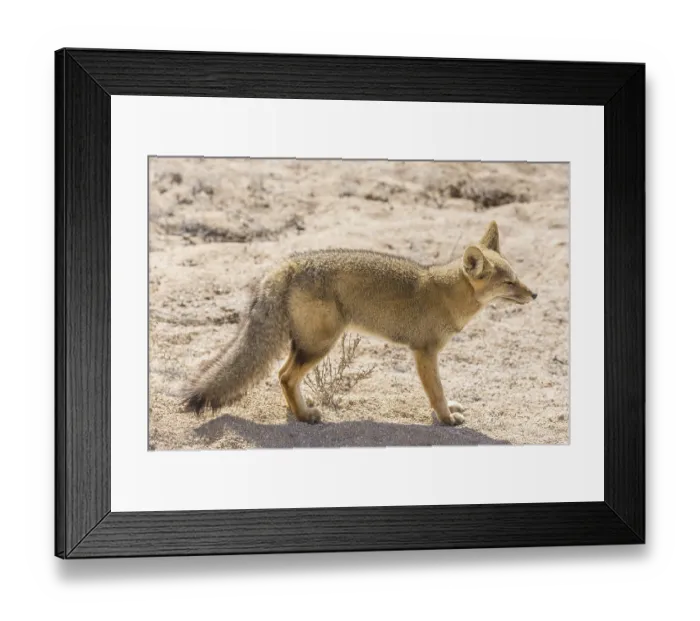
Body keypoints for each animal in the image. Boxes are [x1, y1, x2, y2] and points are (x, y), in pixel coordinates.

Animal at [181, 220, 537, 426]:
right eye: (509, 283)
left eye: (517, 278)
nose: (534, 293)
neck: (447, 293)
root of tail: (287, 265)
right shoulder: (424, 352)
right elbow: (436, 391)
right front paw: (445, 418)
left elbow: (440, 390)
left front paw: (447, 411)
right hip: (320, 345)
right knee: (284, 376)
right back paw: (305, 416)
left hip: (306, 345)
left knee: (284, 376)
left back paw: (299, 410)